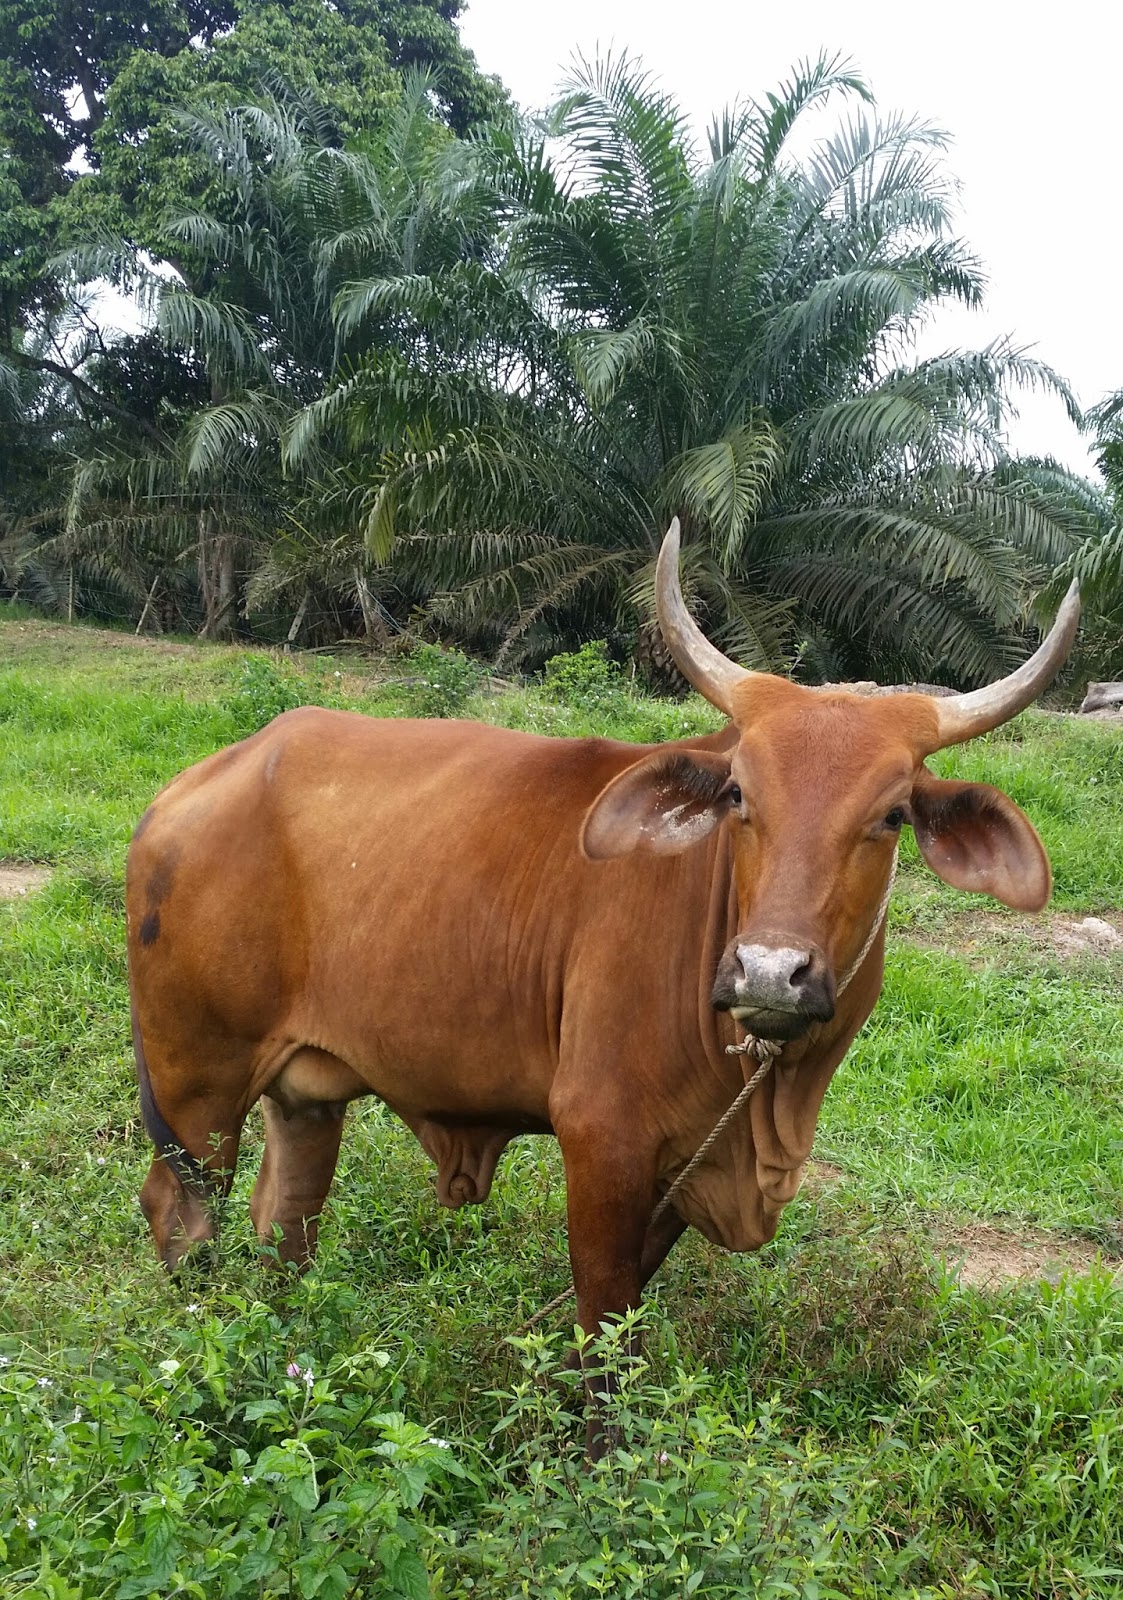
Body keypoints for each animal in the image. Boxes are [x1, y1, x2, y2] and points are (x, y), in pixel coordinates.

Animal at [125, 531, 1081, 1356]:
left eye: (889, 815)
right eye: (739, 795)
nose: (770, 972)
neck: (766, 1096)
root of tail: (197, 781)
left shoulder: (678, 1174)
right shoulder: (601, 1143)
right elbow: (601, 1343)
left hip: (303, 1097)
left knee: (284, 1223)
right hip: (196, 1087)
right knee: (181, 1215)